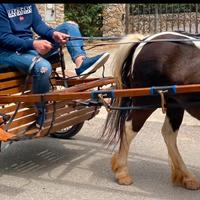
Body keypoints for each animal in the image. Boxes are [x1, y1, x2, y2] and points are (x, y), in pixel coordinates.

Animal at [103, 30, 200, 189]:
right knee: (129, 128)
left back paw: (187, 176)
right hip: (146, 101)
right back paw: (122, 172)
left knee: (169, 134)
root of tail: (145, 40)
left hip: (174, 103)